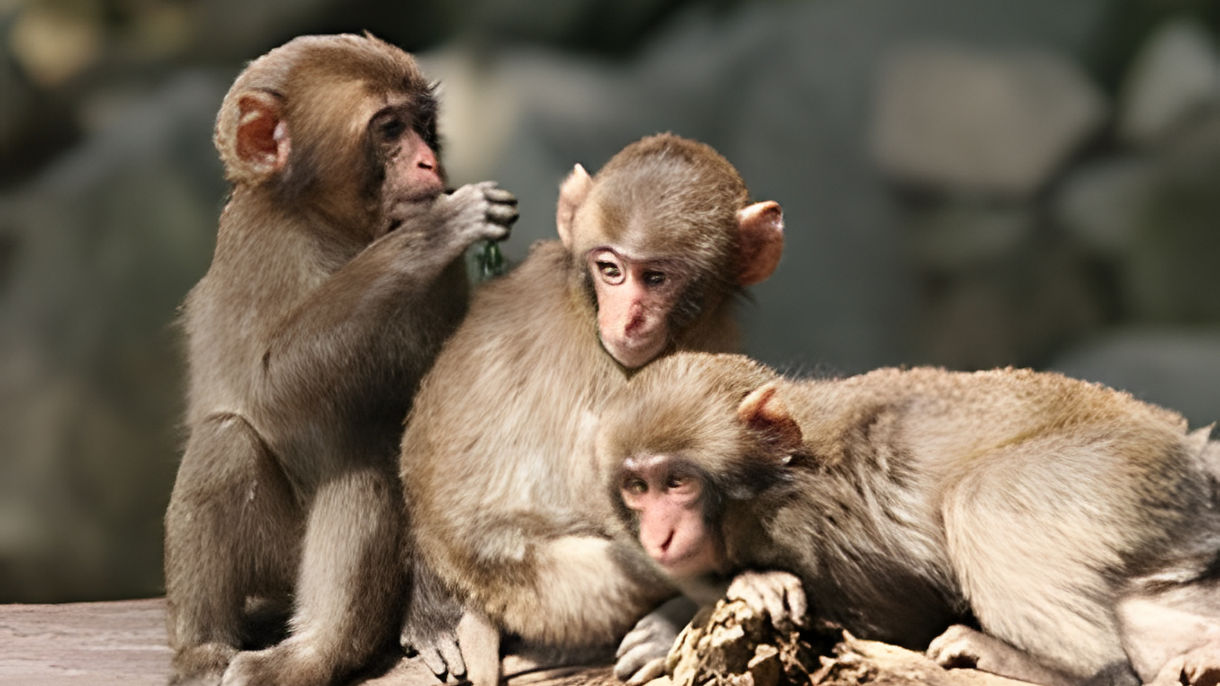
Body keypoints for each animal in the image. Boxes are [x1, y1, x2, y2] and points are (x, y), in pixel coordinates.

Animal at [163, 34, 517, 686]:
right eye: (390, 129)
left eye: (424, 126)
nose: (429, 165)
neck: (335, 227)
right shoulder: (258, 242)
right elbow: (268, 385)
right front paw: (432, 232)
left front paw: (434, 618)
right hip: (279, 564)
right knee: (232, 441)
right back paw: (225, 651)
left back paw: (323, 649)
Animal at [594, 351, 1220, 686]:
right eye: (637, 488)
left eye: (677, 483)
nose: (658, 534)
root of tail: (1193, 450)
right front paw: (669, 623)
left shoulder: (813, 531)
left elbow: (896, 623)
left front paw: (750, 584)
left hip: (1130, 470)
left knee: (984, 499)